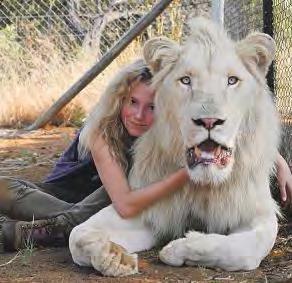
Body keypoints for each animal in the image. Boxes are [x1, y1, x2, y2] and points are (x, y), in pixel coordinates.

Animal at [68, 17, 280, 278]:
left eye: (232, 80)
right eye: (186, 80)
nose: (209, 121)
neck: (202, 185)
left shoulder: (256, 211)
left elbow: (246, 249)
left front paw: (181, 248)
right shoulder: (148, 209)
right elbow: (77, 235)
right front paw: (114, 257)